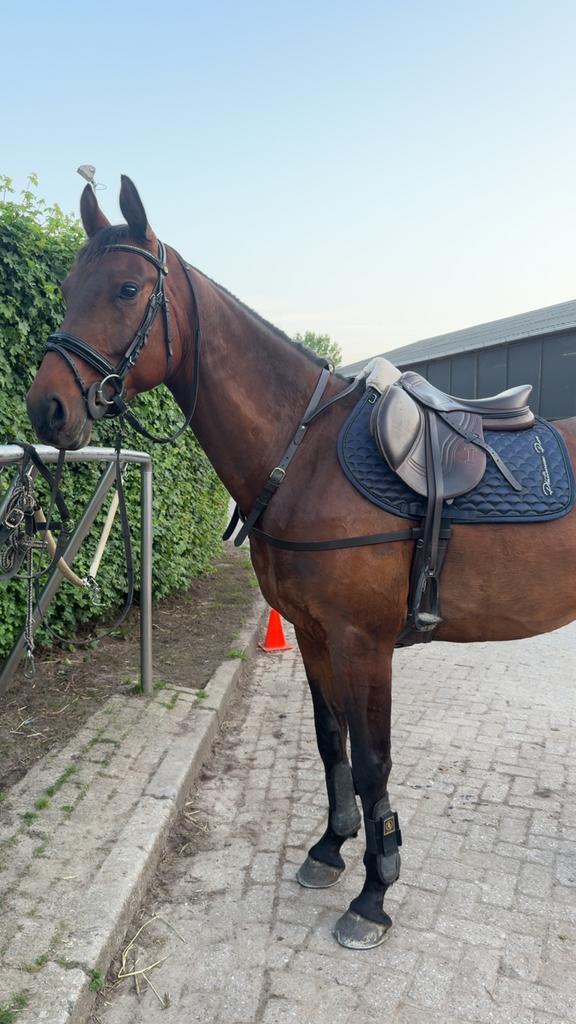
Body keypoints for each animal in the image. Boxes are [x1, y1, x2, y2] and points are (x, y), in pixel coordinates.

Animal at [26, 177, 576, 950]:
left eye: (128, 288)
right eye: (70, 287)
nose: (47, 409)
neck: (305, 455)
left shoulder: (364, 642)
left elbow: (372, 761)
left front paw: (375, 893)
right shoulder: (314, 635)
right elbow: (329, 743)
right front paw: (330, 849)